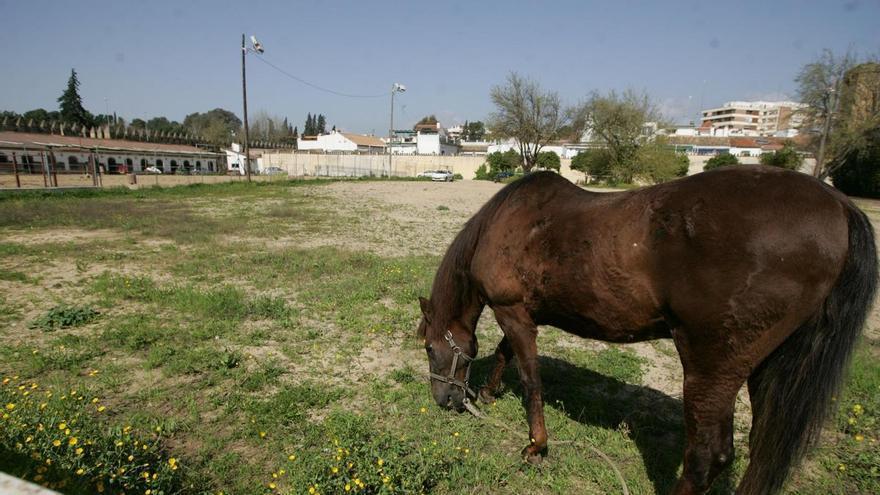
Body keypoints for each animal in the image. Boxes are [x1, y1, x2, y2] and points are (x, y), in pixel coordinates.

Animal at [416, 166, 877, 495]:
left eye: (429, 348)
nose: (443, 400)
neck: (507, 222)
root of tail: (840, 207)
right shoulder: (525, 314)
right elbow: (502, 353)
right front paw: (490, 393)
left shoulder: (513, 313)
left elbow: (530, 380)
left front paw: (535, 445)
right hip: (769, 369)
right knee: (763, 453)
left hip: (712, 366)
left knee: (706, 457)